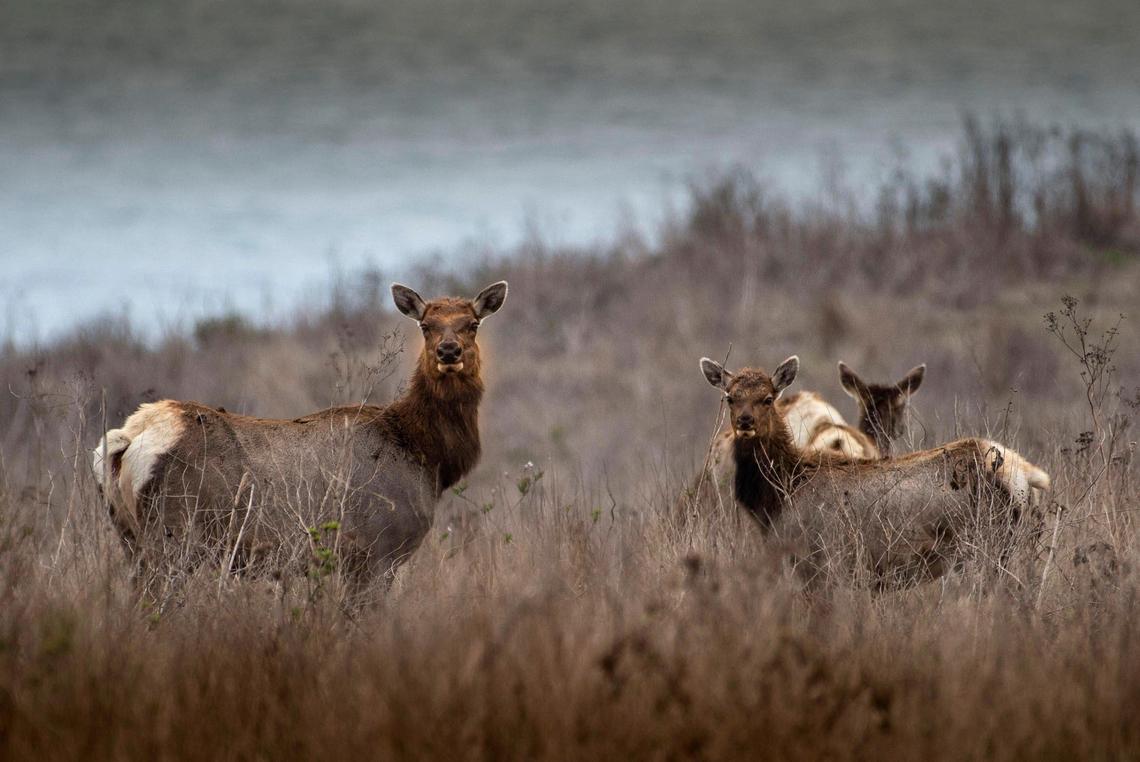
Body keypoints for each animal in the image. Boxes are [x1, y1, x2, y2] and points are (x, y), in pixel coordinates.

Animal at [92, 281, 507, 592]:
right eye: (425, 325)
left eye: (472, 323)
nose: (449, 351)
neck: (426, 455)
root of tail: (128, 438)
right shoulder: (377, 551)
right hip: (173, 536)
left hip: (129, 537)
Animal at [694, 355, 1050, 588]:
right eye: (730, 397)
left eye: (768, 398)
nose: (745, 421)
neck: (780, 493)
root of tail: (1025, 472)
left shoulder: (823, 561)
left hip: (987, 546)